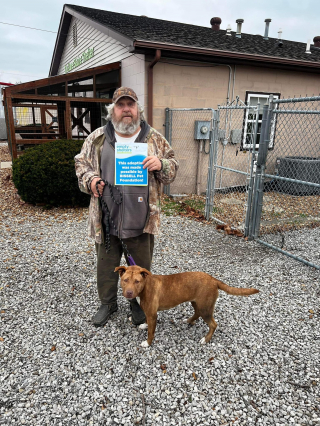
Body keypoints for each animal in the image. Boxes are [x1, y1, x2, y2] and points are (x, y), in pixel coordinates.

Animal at [114, 264, 258, 348]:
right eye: (125, 280)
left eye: (137, 281)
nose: (129, 293)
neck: (145, 286)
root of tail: (213, 279)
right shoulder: (149, 313)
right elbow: (148, 324)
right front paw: (144, 325)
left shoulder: (153, 314)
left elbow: (151, 332)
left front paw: (147, 343)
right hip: (197, 302)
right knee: (197, 313)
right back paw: (188, 320)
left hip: (205, 308)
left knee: (213, 324)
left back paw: (205, 339)